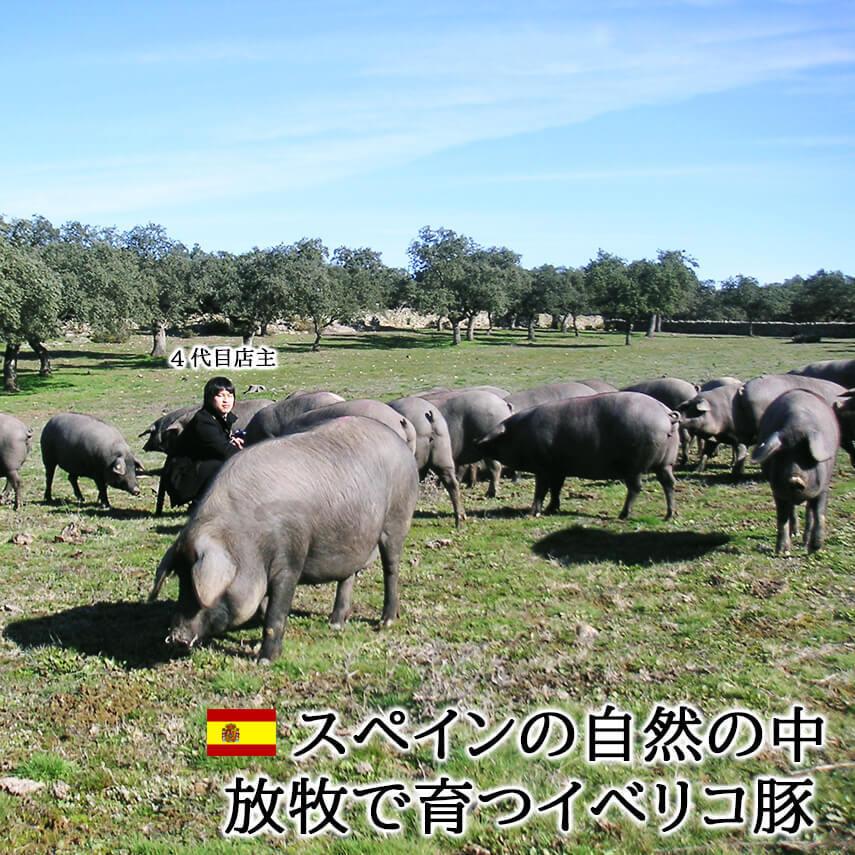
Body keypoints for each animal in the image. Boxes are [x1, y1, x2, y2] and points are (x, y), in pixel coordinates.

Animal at [149, 418, 420, 664]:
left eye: (198, 587)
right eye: (181, 580)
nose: (175, 637)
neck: (245, 540)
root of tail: (401, 443)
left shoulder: (290, 557)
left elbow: (276, 611)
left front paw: (265, 660)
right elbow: (263, 607)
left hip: (397, 519)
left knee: (391, 569)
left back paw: (385, 622)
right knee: (348, 576)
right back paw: (335, 624)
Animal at [478, 392, 680, 520]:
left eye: (496, 440)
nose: (478, 443)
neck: (519, 434)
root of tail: (666, 414)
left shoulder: (543, 467)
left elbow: (541, 490)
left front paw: (532, 513)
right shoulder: (558, 470)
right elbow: (556, 489)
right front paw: (552, 509)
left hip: (634, 465)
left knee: (636, 488)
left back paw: (623, 515)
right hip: (665, 463)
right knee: (669, 483)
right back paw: (669, 515)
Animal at [752, 392, 840, 560]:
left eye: (807, 457)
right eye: (782, 457)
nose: (794, 479)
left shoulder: (824, 487)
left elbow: (820, 515)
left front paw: (814, 550)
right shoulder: (777, 491)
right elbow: (782, 519)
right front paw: (782, 552)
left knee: (809, 511)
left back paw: (805, 541)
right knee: (792, 510)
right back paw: (795, 534)